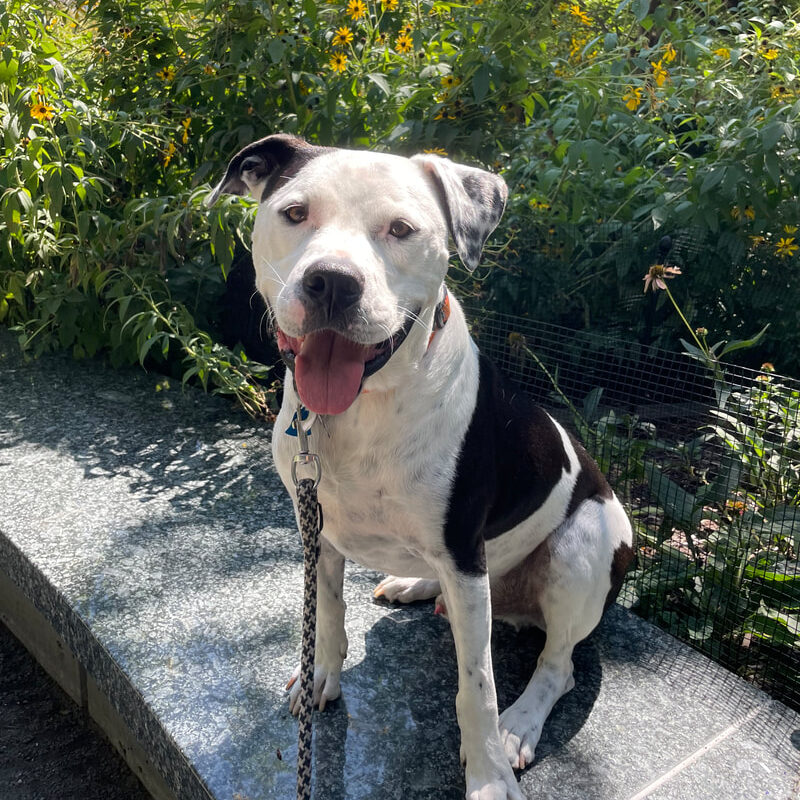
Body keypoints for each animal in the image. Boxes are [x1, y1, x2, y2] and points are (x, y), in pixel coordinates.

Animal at [209, 138, 636, 800]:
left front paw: (487, 775)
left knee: (558, 664)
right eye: (295, 213)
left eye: (401, 229)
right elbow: (326, 612)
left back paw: (520, 724)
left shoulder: (464, 545)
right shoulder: (317, 529)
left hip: (580, 549)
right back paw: (416, 584)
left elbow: (477, 686)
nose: (331, 282)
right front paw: (321, 677)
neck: (361, 409)